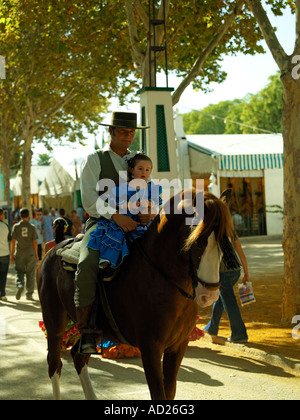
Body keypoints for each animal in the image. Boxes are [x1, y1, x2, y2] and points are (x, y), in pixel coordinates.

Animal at [37, 189, 234, 398]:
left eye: (226, 241)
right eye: (197, 242)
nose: (210, 295)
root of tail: (55, 248)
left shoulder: (177, 346)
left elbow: (169, 391)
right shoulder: (150, 348)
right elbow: (159, 393)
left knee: (78, 356)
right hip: (54, 323)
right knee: (54, 364)